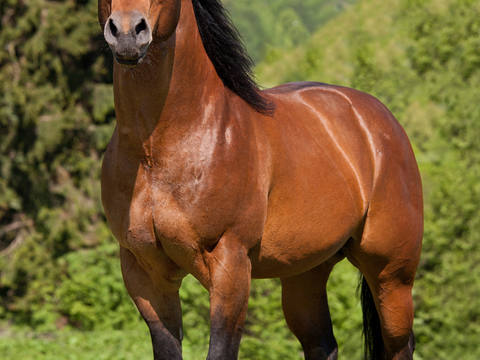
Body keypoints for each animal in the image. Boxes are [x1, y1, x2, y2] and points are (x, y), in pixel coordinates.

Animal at [99, 0, 422, 360]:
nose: (127, 33)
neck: (157, 151)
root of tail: (379, 120)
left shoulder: (231, 267)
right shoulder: (145, 275)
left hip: (392, 277)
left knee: (399, 344)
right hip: (305, 275)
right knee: (323, 344)